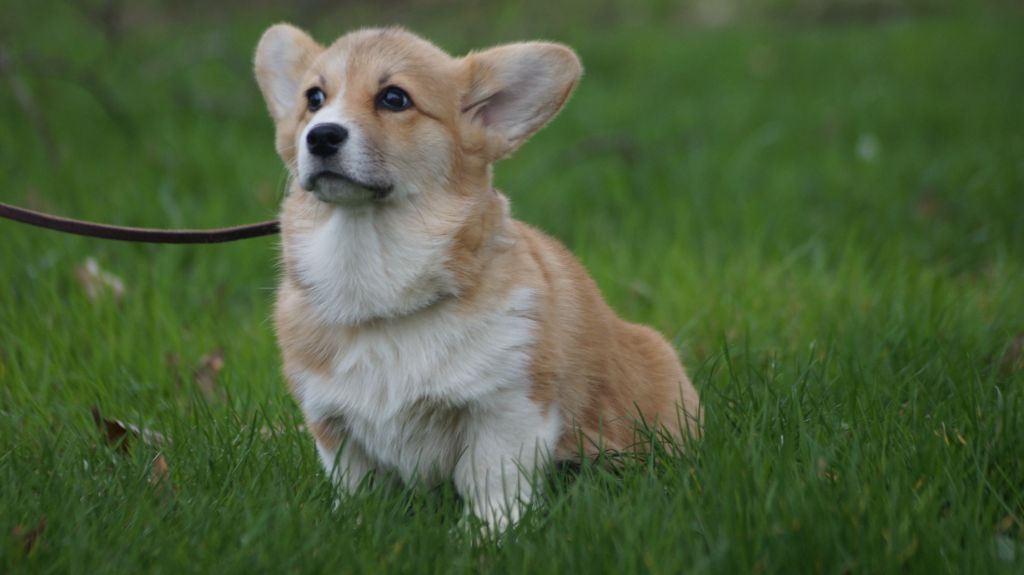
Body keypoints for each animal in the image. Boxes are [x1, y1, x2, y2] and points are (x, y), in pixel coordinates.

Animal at [256, 25, 704, 527]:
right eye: (314, 98)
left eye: (394, 98)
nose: (321, 136)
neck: (375, 273)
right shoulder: (334, 423)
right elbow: (356, 486)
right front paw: (355, 526)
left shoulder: (507, 407)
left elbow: (492, 480)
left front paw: (491, 535)